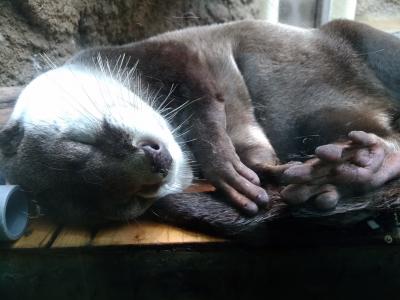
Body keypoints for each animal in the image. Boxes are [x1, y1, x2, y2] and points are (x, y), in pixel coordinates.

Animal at [0, 19, 400, 238]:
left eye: (81, 144)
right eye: (132, 199)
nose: (157, 164)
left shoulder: (172, 55)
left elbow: (203, 101)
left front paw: (225, 168)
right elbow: (250, 146)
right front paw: (265, 172)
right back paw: (350, 172)